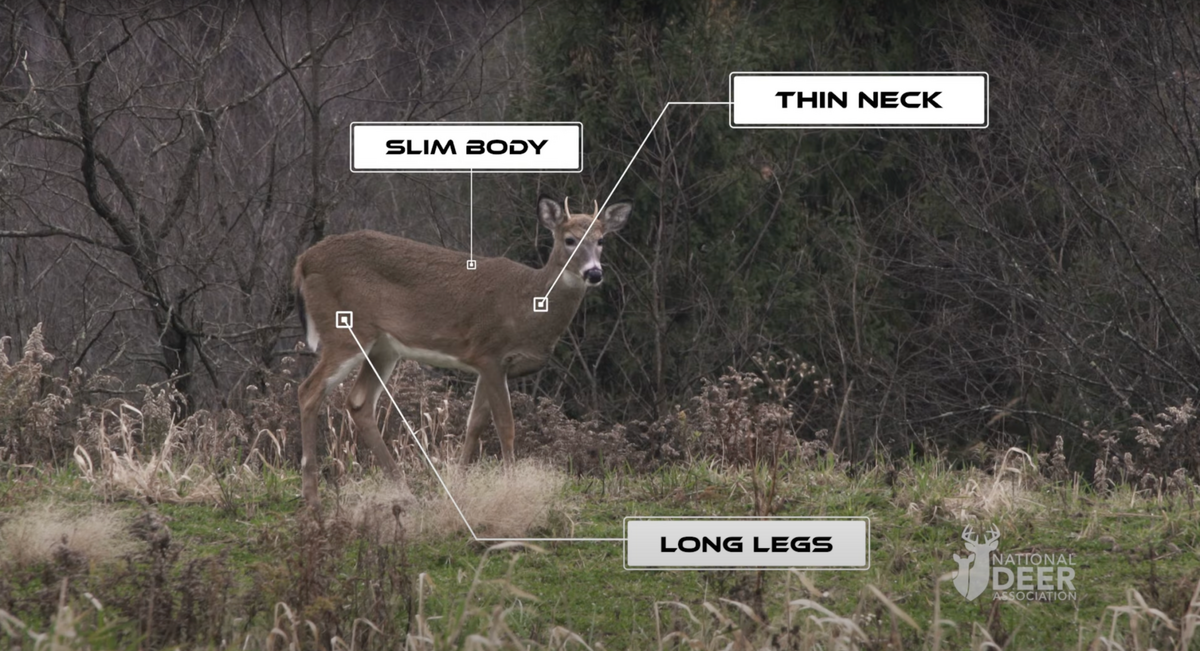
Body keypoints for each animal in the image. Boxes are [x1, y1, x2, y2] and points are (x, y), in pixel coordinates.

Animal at [292, 195, 632, 506]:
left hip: (383, 348)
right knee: (309, 389)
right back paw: (312, 496)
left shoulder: (487, 364)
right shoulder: (491, 352)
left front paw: (457, 484)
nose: (594, 273)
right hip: (345, 331)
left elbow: (475, 423)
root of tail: (304, 261)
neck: (529, 306)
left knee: (359, 402)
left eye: (601, 240)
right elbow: (505, 425)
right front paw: (510, 488)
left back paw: (404, 491)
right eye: (569, 240)